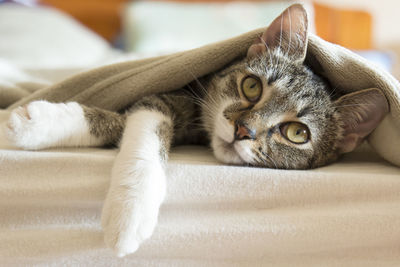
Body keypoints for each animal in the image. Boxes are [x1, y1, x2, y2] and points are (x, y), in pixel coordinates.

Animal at [4, 3, 390, 258]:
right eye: (252, 86)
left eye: (297, 133)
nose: (243, 129)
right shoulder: (172, 93)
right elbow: (144, 115)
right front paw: (34, 122)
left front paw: (129, 215)